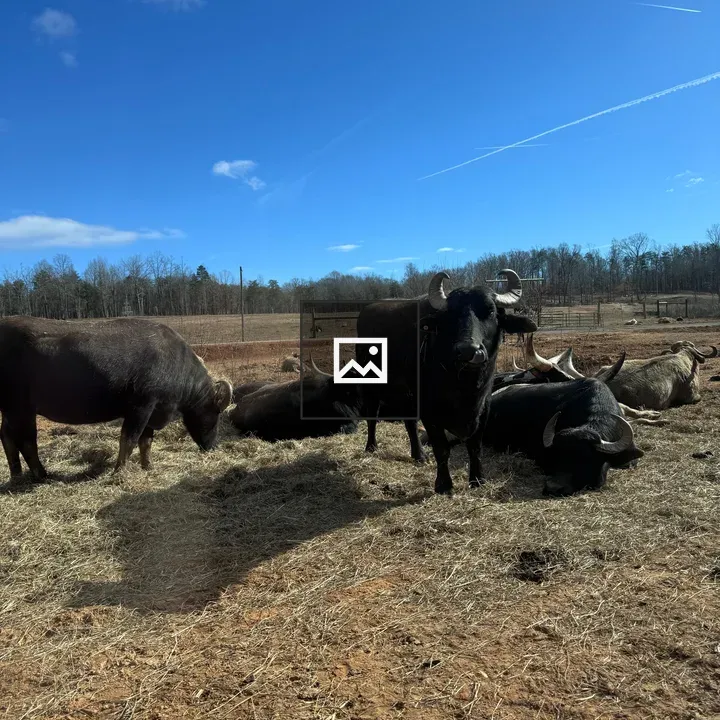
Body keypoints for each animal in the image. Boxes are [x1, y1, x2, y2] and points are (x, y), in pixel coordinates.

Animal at [0, 316, 233, 480]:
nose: (212, 447)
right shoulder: (141, 407)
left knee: (7, 438)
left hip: (10, 409)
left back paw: (16, 475)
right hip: (21, 409)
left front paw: (148, 466)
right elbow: (129, 439)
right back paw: (41, 474)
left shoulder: (151, 411)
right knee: (26, 441)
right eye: (215, 415)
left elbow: (146, 442)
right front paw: (119, 471)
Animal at [356, 269, 537, 494]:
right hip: (371, 382)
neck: (462, 384)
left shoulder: (483, 406)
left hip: (406, 393)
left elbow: (474, 446)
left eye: (491, 311)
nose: (468, 350)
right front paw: (443, 485)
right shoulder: (429, 410)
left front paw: (477, 479)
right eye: (451, 315)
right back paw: (371, 446)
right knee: (372, 415)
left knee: (409, 423)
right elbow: (441, 448)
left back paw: (419, 455)